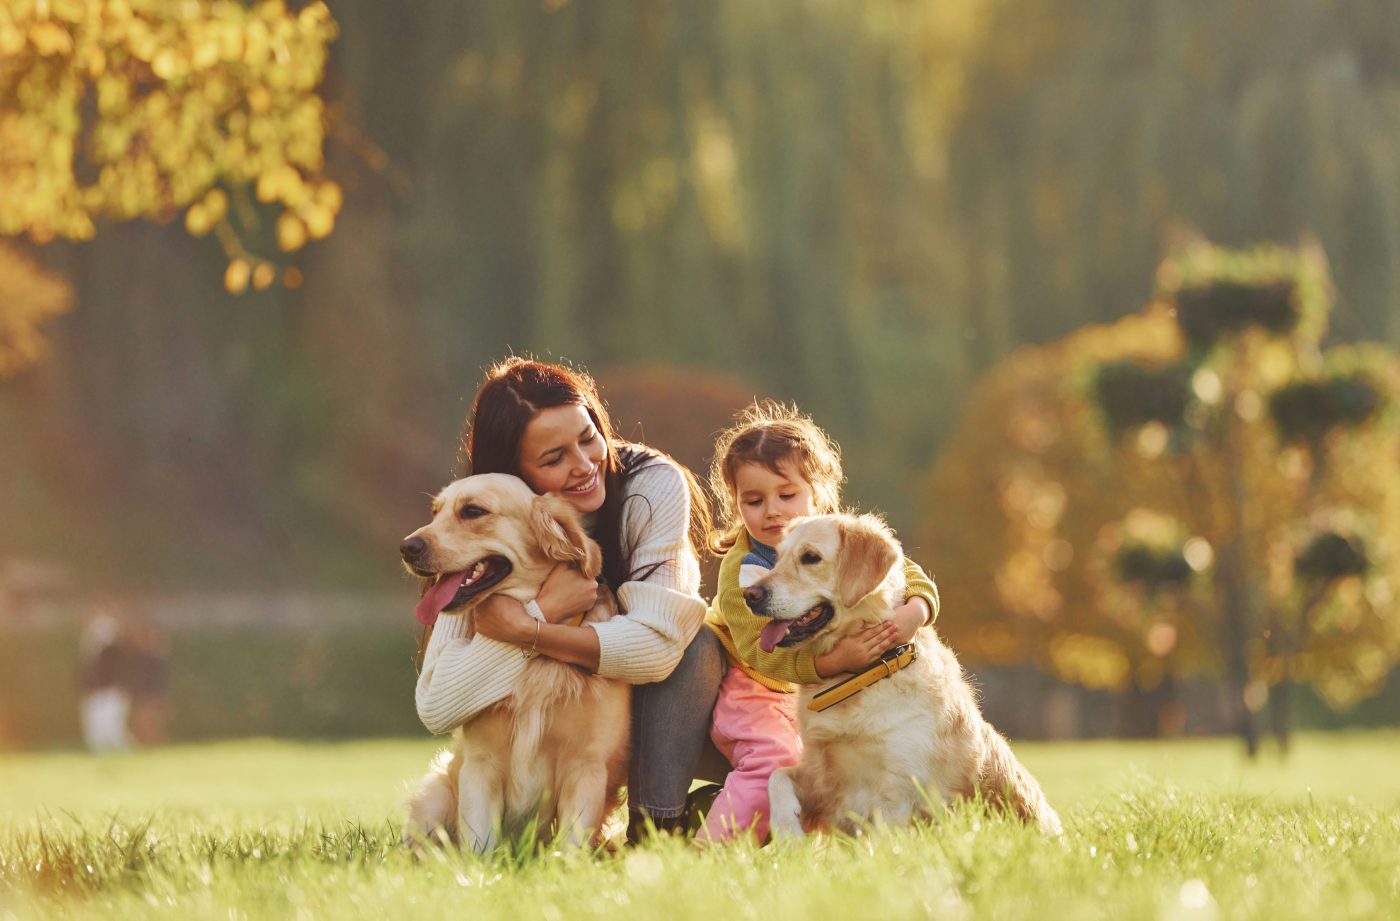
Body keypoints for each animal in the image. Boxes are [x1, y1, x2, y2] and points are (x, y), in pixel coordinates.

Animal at [400, 473, 630, 845]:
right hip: (435, 796)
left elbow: (570, 848)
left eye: (473, 511)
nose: (407, 547)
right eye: (435, 512)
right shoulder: (480, 765)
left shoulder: (586, 767)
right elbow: (478, 848)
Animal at [744, 512, 1058, 834]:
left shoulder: (898, 790)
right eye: (778, 557)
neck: (859, 677)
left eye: (810, 557)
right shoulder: (823, 775)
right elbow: (777, 778)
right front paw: (787, 832)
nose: (749, 595)